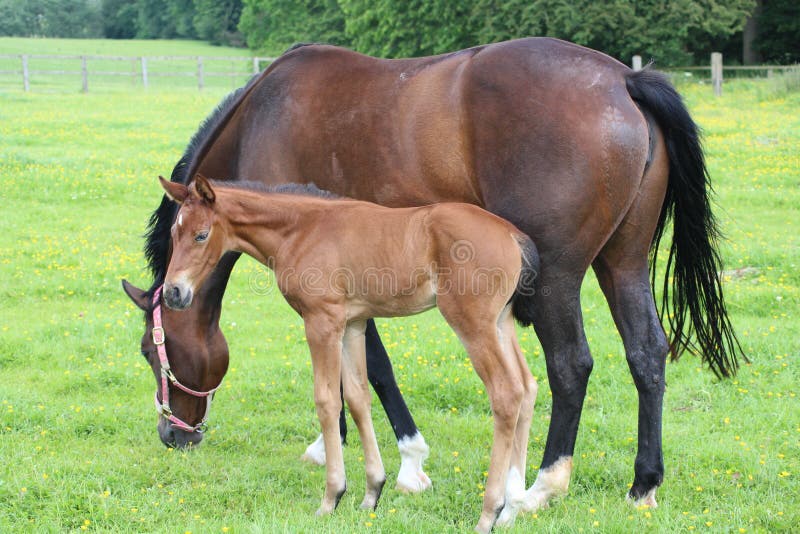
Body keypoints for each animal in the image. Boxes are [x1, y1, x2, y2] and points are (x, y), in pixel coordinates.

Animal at [160, 175, 540, 532]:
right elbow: (358, 398)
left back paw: (489, 513)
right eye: (175, 233)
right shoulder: (354, 324)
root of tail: (512, 235)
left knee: (506, 393)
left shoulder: (322, 322)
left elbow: (328, 401)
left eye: (201, 235)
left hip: (472, 324)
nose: (173, 293)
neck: (301, 230)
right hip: (501, 323)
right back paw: (512, 508)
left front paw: (332, 498)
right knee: (527, 387)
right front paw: (371, 493)